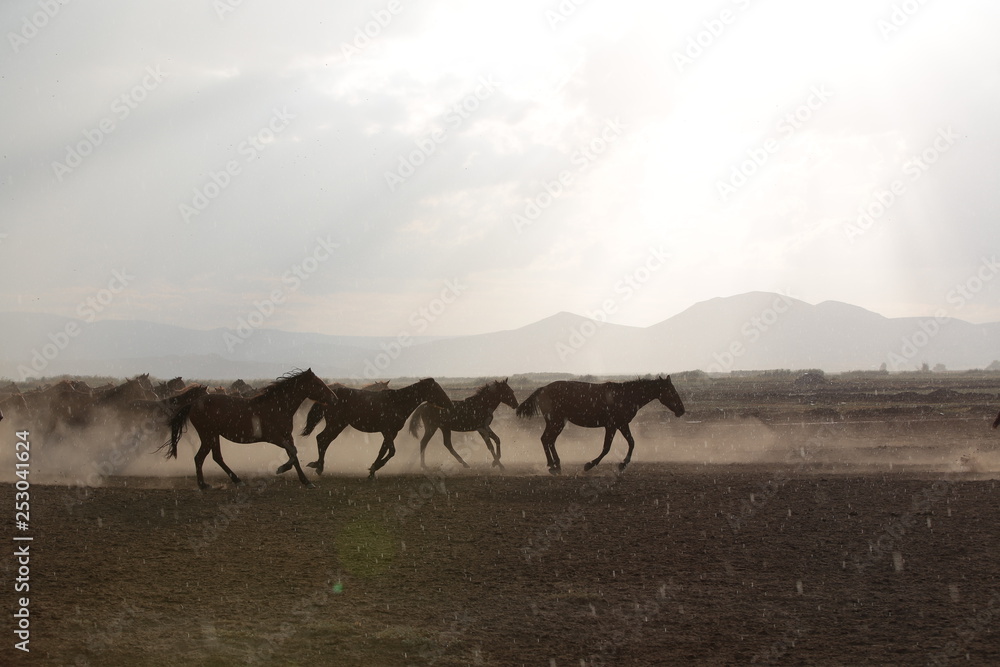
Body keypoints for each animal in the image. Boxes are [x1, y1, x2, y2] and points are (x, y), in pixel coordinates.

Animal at [159, 368, 338, 490]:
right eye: (318, 383)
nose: (334, 398)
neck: (278, 406)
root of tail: (193, 404)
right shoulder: (274, 437)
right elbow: (293, 452)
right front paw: (281, 468)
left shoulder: (287, 436)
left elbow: (293, 454)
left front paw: (306, 481)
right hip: (207, 435)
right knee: (199, 457)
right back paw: (204, 485)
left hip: (214, 435)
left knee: (216, 457)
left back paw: (236, 480)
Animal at [299, 378, 454, 479]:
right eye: (436, 389)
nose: (449, 404)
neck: (398, 402)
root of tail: (332, 394)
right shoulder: (387, 431)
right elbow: (391, 451)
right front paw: (375, 467)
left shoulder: (392, 433)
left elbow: (383, 450)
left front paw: (373, 469)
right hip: (335, 424)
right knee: (321, 439)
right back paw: (319, 466)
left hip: (338, 426)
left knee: (323, 440)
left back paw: (318, 466)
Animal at [515, 376, 685, 475]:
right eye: (671, 390)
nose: (682, 410)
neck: (626, 395)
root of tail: (542, 389)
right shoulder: (612, 425)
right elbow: (607, 447)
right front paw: (589, 465)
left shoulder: (622, 424)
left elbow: (631, 442)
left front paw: (622, 464)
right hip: (556, 422)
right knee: (546, 439)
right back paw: (553, 465)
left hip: (557, 422)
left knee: (548, 440)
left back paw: (556, 465)